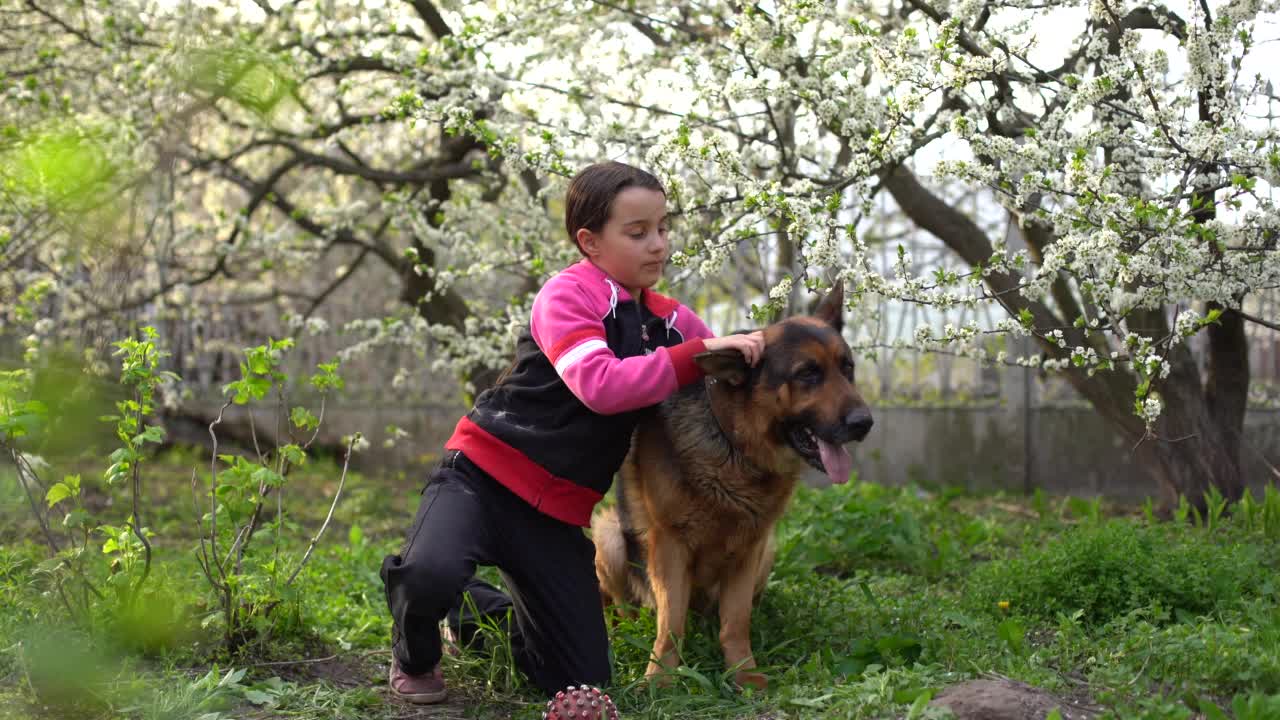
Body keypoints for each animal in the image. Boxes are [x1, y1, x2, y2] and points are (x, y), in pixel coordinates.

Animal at [591, 279, 875, 681]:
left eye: (847, 368)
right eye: (808, 373)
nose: (864, 424)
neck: (735, 446)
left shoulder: (750, 549)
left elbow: (737, 621)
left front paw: (743, 675)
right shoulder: (670, 546)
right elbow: (671, 625)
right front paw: (661, 678)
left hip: (767, 551)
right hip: (610, 536)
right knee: (626, 609)